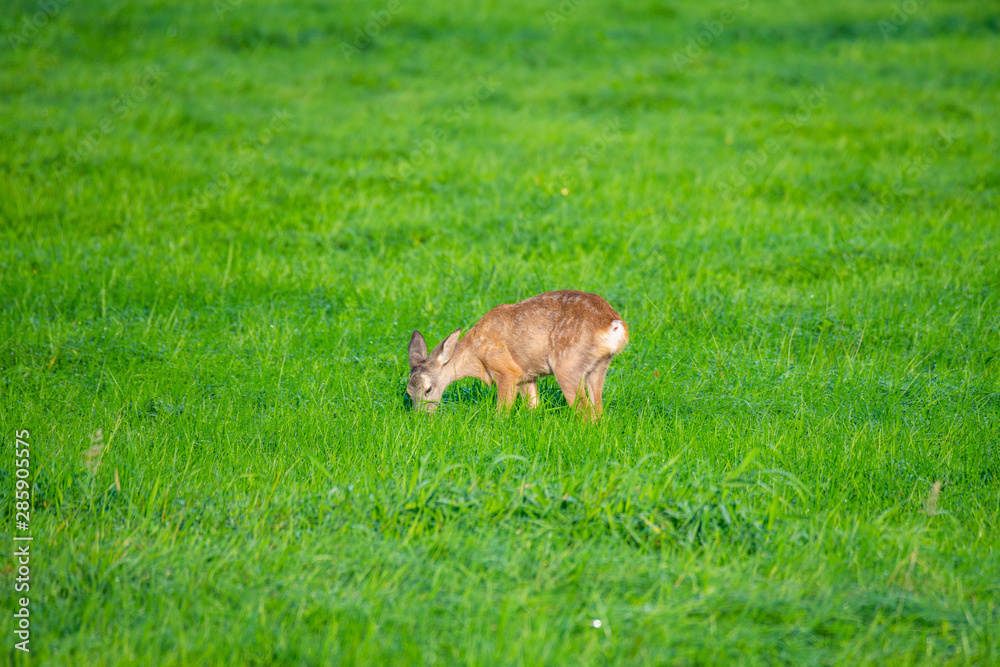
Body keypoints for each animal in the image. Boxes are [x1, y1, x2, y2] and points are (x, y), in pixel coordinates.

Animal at [406, 290, 628, 420]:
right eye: (408, 393)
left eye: (428, 389)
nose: (421, 417)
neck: (474, 354)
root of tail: (613, 324)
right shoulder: (526, 375)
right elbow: (534, 405)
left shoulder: (506, 369)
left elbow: (503, 409)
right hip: (599, 366)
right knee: (598, 409)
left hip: (568, 365)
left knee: (586, 411)